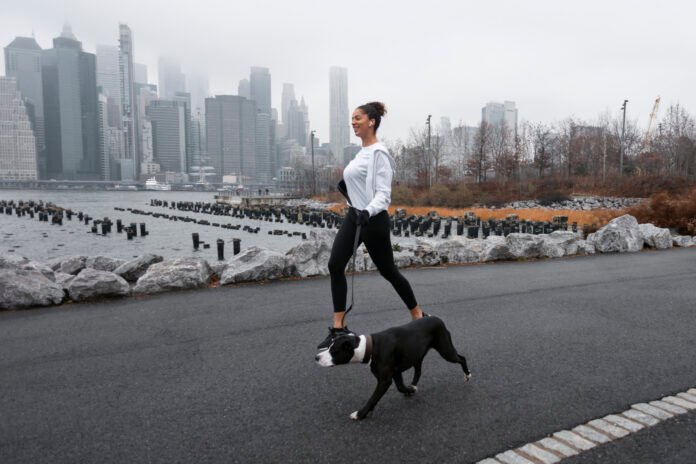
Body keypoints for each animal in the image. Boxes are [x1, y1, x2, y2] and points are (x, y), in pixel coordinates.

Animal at [316, 316, 474, 420]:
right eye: (329, 345)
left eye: (333, 351)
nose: (316, 357)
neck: (369, 347)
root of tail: (437, 319)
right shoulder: (396, 372)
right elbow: (400, 387)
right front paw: (410, 390)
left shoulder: (385, 380)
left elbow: (373, 397)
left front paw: (360, 414)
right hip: (418, 355)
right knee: (418, 371)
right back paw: (413, 385)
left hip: (445, 349)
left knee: (461, 358)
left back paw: (467, 374)